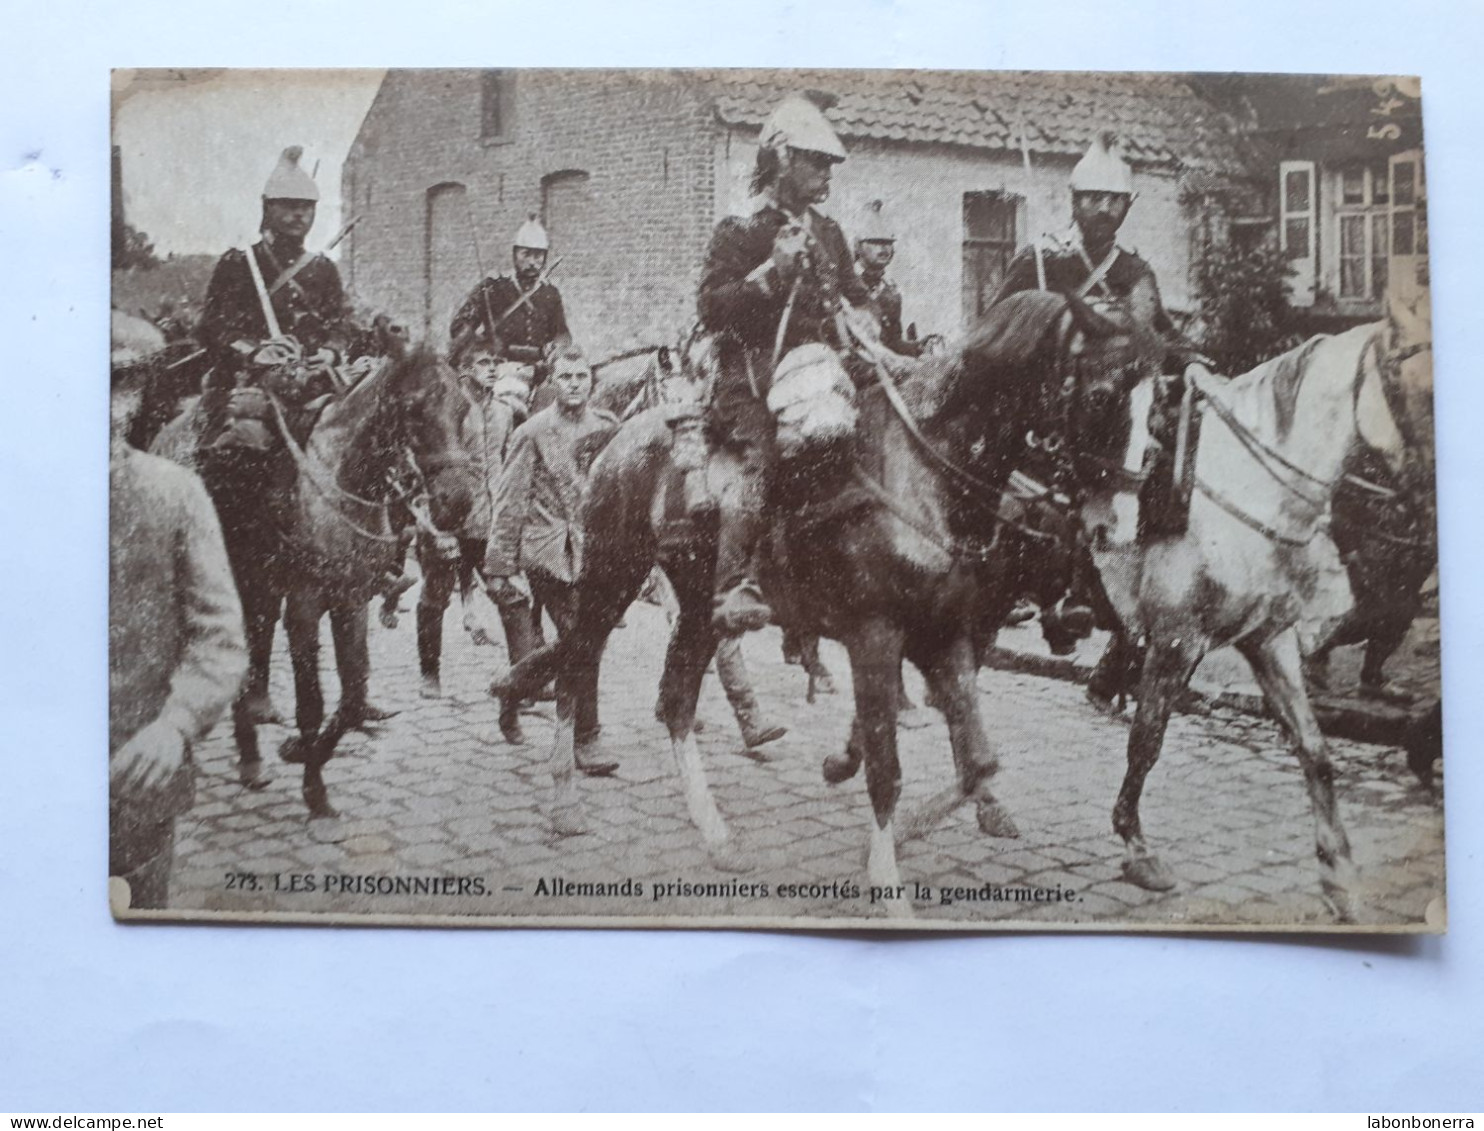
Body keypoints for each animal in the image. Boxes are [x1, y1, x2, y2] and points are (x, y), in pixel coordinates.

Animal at [492, 292, 1127, 908]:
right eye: (1102, 394)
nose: (1105, 523)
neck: (921, 474)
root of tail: (613, 436)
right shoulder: (877, 635)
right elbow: (887, 770)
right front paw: (887, 883)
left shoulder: (943, 632)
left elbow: (978, 761)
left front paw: (906, 826)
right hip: (612, 577)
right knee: (577, 665)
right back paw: (564, 799)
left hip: (699, 605)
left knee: (674, 700)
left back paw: (718, 837)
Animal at [1080, 299, 1436, 914]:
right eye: (1422, 389)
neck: (1243, 490)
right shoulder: (1176, 641)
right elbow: (1146, 743)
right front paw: (1137, 847)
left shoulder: (1267, 638)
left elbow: (1315, 749)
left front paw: (1339, 874)